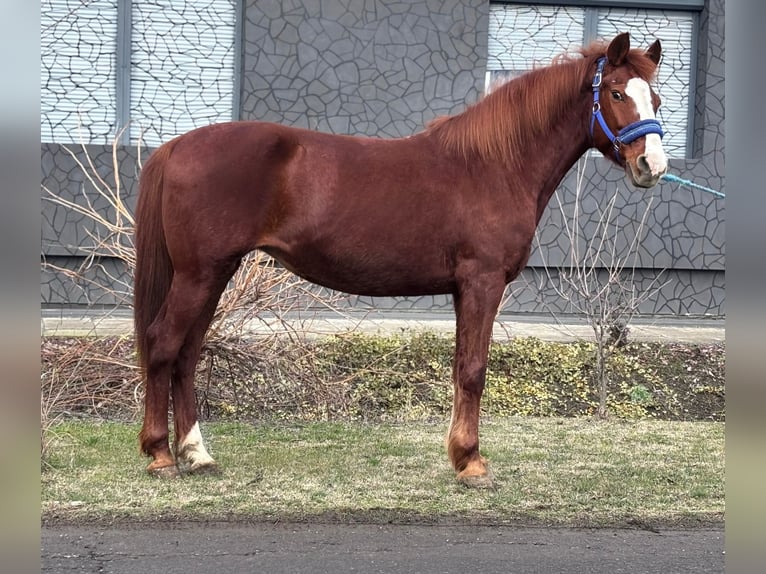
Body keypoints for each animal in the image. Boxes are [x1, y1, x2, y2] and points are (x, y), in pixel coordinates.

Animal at [134, 32, 668, 487]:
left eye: (657, 101)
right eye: (617, 94)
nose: (653, 167)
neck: (493, 165)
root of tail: (176, 146)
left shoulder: (464, 289)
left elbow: (461, 367)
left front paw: (460, 456)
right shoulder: (483, 281)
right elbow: (474, 370)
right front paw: (473, 464)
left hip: (213, 273)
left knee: (187, 354)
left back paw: (197, 454)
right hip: (199, 274)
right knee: (164, 344)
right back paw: (161, 456)